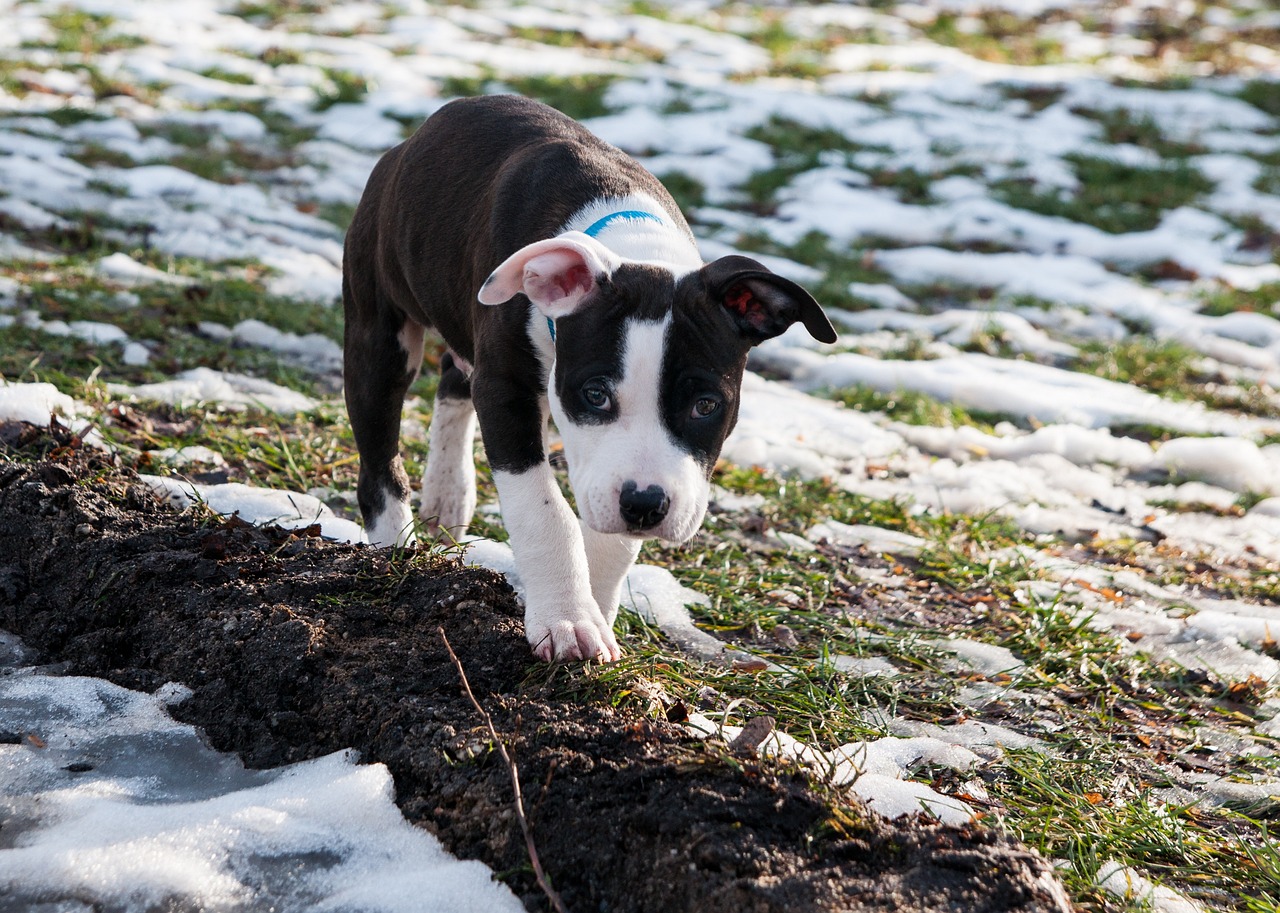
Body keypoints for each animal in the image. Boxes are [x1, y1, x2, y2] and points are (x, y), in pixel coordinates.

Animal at [343, 96, 839, 660]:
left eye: (707, 405)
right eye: (595, 395)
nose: (646, 505)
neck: (637, 248)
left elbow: (612, 536)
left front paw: (597, 609)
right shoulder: (506, 390)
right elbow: (545, 511)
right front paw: (567, 620)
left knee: (454, 378)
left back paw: (448, 494)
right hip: (381, 330)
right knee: (380, 455)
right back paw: (392, 552)